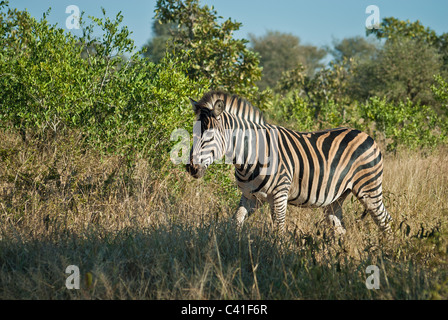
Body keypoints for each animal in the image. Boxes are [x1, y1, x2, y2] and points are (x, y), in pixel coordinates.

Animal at [186, 90, 392, 235]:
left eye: (209, 136)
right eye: (193, 133)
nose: (191, 168)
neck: (251, 154)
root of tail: (366, 135)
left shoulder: (279, 194)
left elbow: (279, 229)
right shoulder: (251, 196)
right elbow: (235, 222)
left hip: (369, 189)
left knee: (385, 220)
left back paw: (387, 253)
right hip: (338, 196)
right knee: (339, 226)